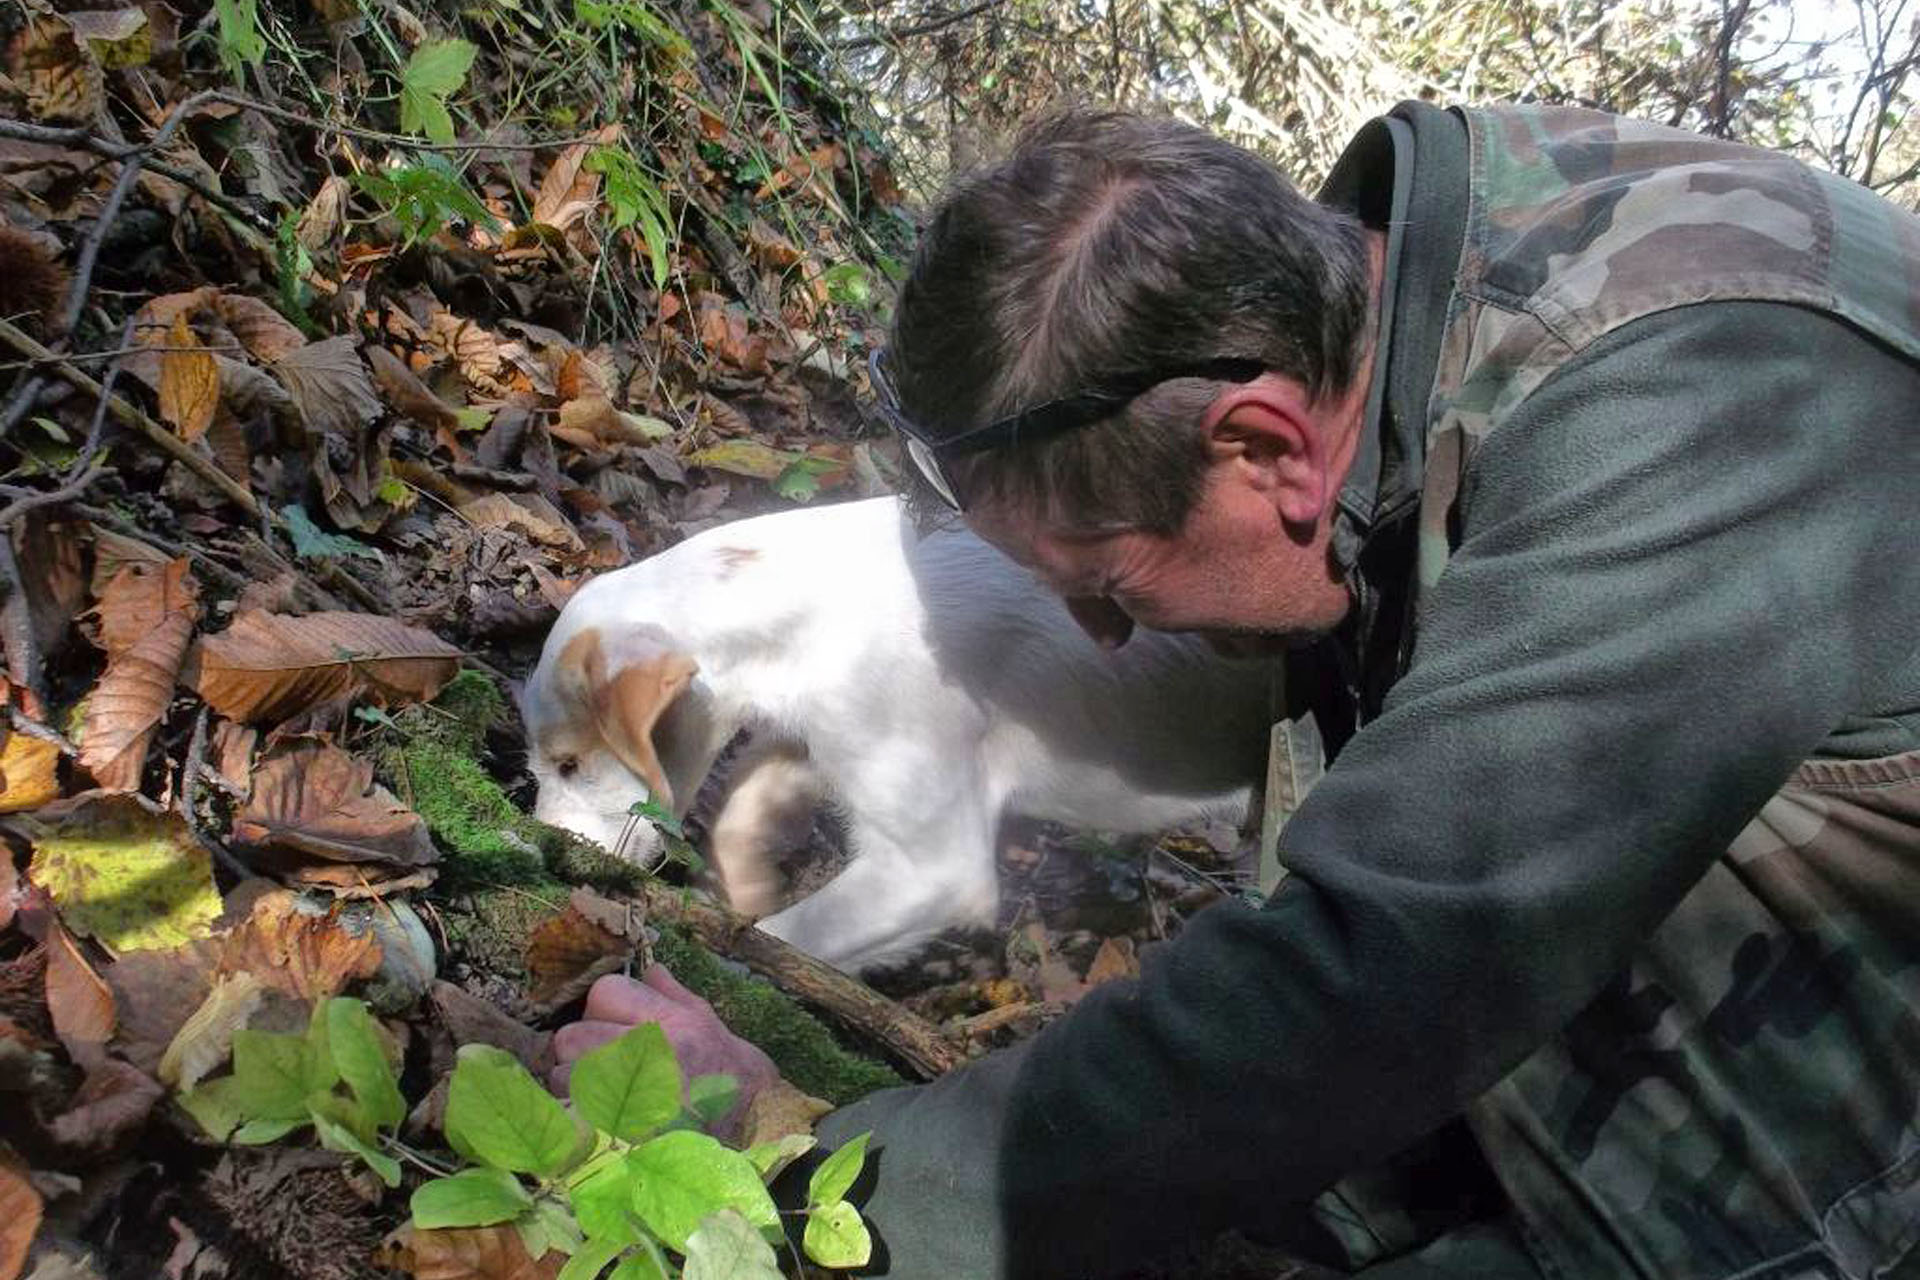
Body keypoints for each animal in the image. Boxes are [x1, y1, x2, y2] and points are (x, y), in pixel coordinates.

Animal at [526, 495, 1274, 967]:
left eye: (568, 765)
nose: (542, 847)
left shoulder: (935, 865)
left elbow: (793, 941)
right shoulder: (833, 736)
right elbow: (748, 803)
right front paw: (744, 888)